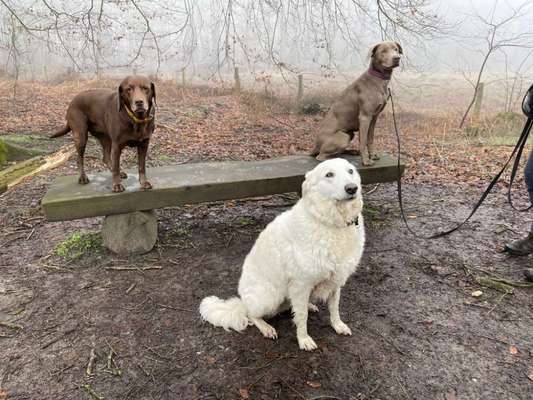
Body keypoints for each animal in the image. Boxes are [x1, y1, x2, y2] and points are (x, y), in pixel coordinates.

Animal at [200, 158, 366, 352]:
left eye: (350, 171)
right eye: (329, 174)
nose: (352, 188)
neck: (330, 222)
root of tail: (242, 301)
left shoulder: (335, 281)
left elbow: (334, 308)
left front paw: (338, 325)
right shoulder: (301, 284)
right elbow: (302, 318)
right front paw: (303, 339)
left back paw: (310, 305)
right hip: (271, 296)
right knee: (251, 314)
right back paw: (266, 327)